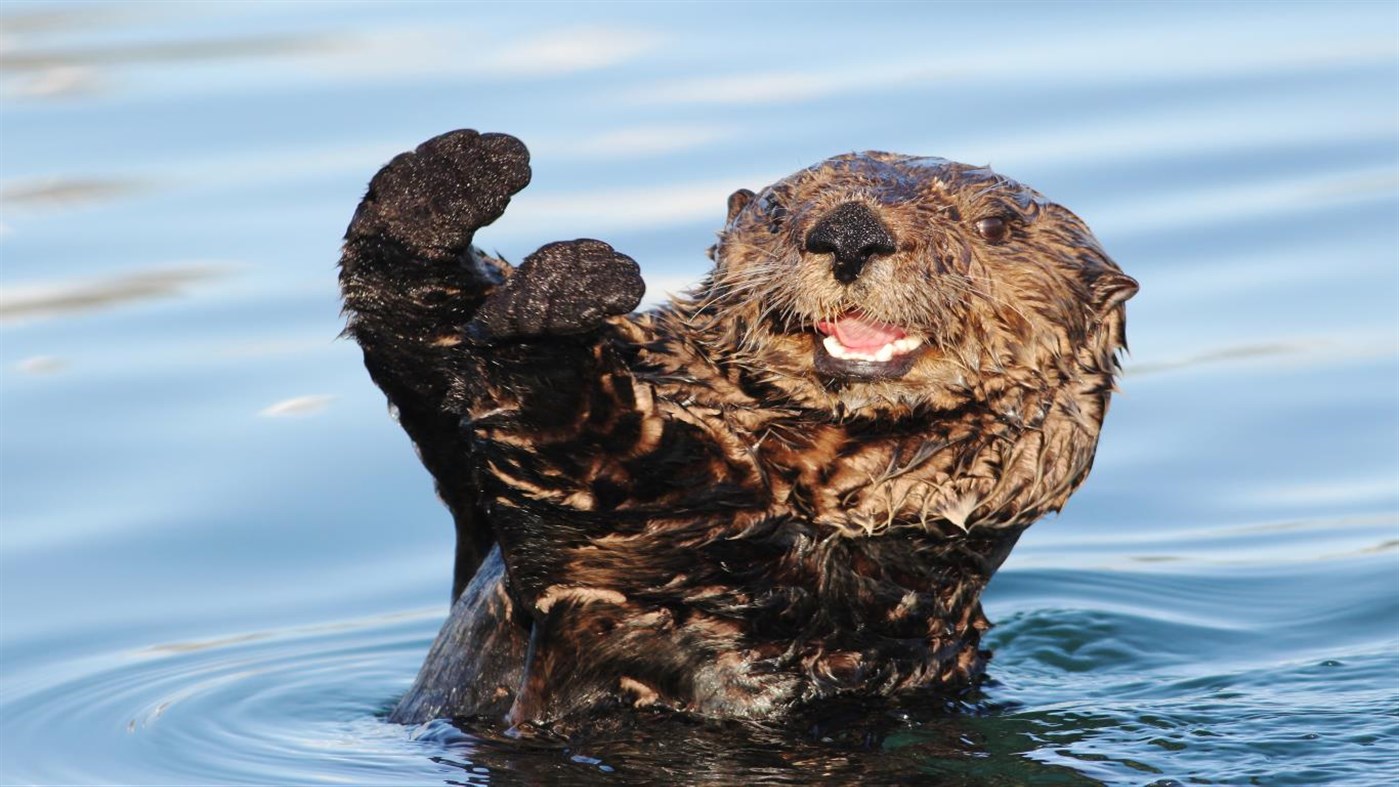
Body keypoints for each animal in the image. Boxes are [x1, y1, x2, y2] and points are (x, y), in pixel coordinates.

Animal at [338, 130, 1136, 729]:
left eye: (993, 225)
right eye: (778, 211)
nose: (849, 231)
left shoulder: (715, 559)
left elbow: (593, 459)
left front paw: (557, 300)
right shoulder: (474, 503)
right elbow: (427, 358)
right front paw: (448, 180)